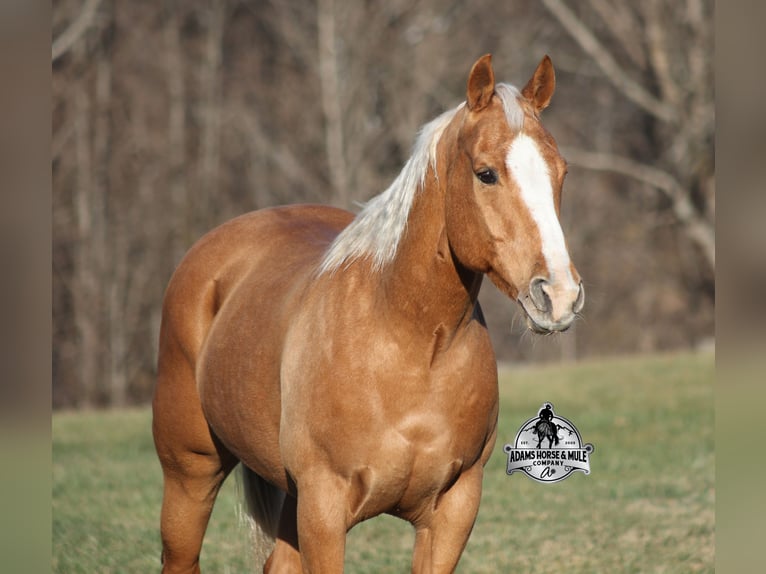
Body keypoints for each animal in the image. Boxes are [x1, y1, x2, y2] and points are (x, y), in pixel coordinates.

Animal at [152, 53, 584, 573]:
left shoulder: (453, 510)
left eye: (561, 172)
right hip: (191, 474)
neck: (410, 344)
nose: (558, 295)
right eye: (486, 174)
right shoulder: (324, 509)